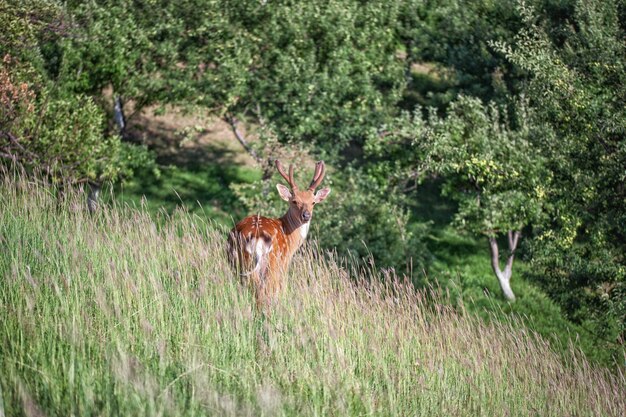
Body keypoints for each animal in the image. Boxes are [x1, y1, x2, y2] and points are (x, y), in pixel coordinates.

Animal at [225, 161, 332, 308]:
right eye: (294, 201)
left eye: (313, 202)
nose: (306, 215)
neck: (290, 237)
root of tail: (257, 236)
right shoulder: (285, 262)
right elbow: (281, 288)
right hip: (272, 262)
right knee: (264, 290)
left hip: (239, 261)